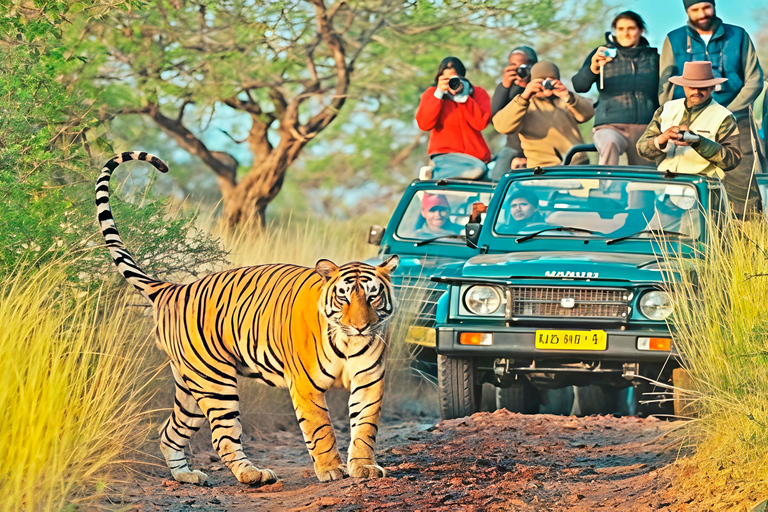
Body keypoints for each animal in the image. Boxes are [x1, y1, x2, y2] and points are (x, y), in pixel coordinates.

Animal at [95, 151, 399, 486]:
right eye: (343, 297)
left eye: (373, 296)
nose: (361, 326)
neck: (347, 343)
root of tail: (173, 288)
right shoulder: (306, 386)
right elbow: (321, 429)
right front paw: (331, 469)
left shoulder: (369, 380)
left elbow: (365, 427)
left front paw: (364, 466)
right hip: (214, 381)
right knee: (223, 437)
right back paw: (253, 474)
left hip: (189, 387)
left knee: (169, 432)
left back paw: (187, 475)